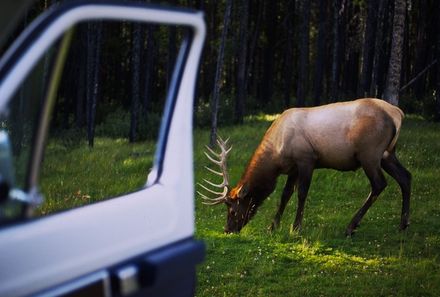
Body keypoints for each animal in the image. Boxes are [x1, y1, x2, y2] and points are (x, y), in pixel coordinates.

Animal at [199, 98, 412, 235]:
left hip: (369, 153)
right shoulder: (292, 168)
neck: (276, 154)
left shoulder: (306, 159)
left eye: (232, 211)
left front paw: (296, 227)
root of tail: (397, 113)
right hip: (387, 154)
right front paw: (273, 226)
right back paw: (402, 224)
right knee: (406, 177)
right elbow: (285, 195)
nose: (227, 230)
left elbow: (301, 193)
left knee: (379, 184)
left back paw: (351, 226)